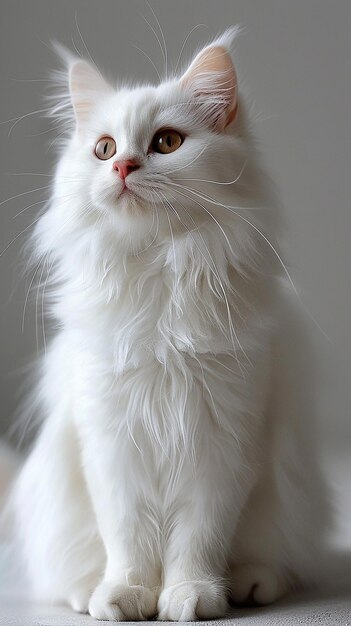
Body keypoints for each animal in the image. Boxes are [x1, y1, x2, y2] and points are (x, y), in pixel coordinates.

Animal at [7, 29, 332, 620]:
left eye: (166, 142)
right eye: (104, 149)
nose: (123, 168)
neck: (159, 273)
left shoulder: (223, 444)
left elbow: (198, 538)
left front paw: (191, 596)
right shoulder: (111, 443)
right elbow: (128, 538)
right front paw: (125, 597)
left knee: (275, 561)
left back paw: (250, 584)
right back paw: (86, 593)